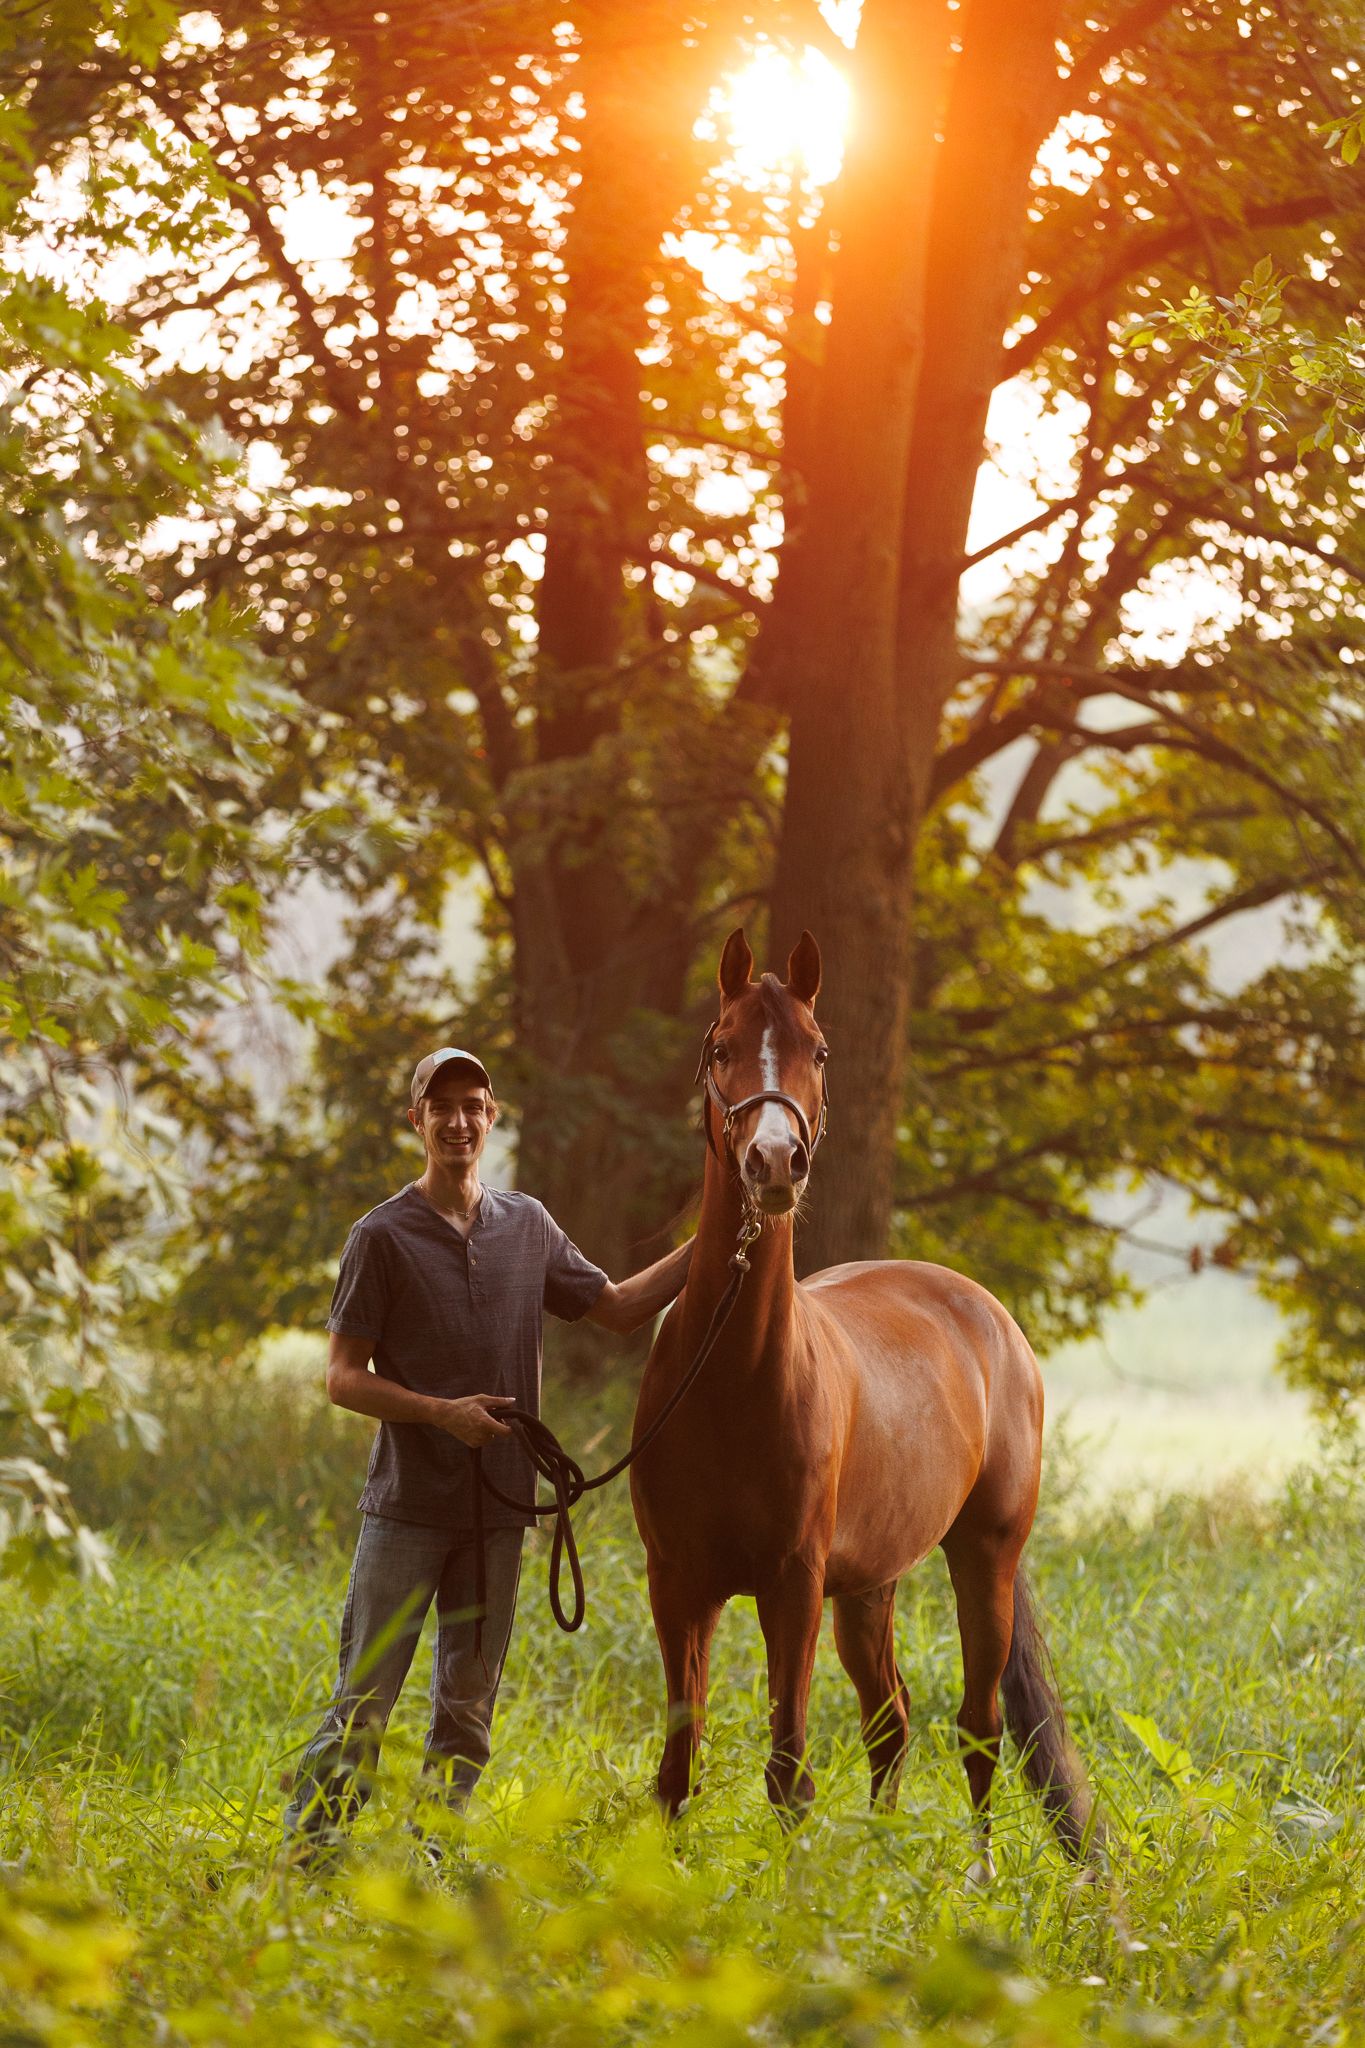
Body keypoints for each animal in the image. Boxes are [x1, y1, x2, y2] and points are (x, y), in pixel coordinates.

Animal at [629, 928, 1090, 1878]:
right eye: (721, 1047)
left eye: (818, 1050)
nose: (774, 1162)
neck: (733, 1380)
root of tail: (986, 1315)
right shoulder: (677, 1584)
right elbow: (678, 1766)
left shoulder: (791, 1586)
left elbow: (787, 1771)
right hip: (869, 1588)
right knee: (893, 1722)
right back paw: (877, 1867)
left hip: (980, 1558)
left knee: (978, 1727)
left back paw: (978, 1877)